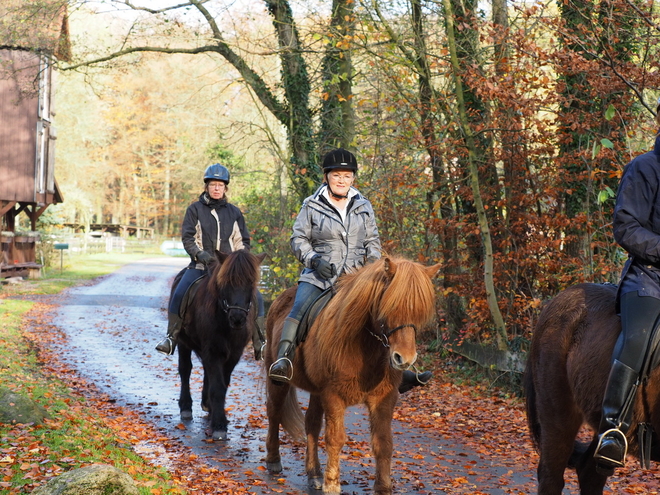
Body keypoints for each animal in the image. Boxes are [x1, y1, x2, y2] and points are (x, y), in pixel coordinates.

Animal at [175, 250, 268, 440]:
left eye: (251, 282)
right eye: (227, 282)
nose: (238, 318)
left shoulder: (233, 354)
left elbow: (222, 385)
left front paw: (217, 416)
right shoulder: (213, 351)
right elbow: (217, 387)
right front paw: (219, 426)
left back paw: (206, 404)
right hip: (183, 343)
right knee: (185, 370)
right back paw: (186, 406)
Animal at [262, 256, 438, 495]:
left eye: (420, 312)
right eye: (391, 306)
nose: (405, 359)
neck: (363, 345)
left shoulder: (383, 399)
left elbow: (383, 442)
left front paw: (383, 487)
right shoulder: (333, 396)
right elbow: (335, 439)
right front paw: (332, 484)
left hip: (316, 391)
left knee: (311, 425)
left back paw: (314, 473)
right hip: (278, 381)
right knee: (274, 412)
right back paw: (273, 460)